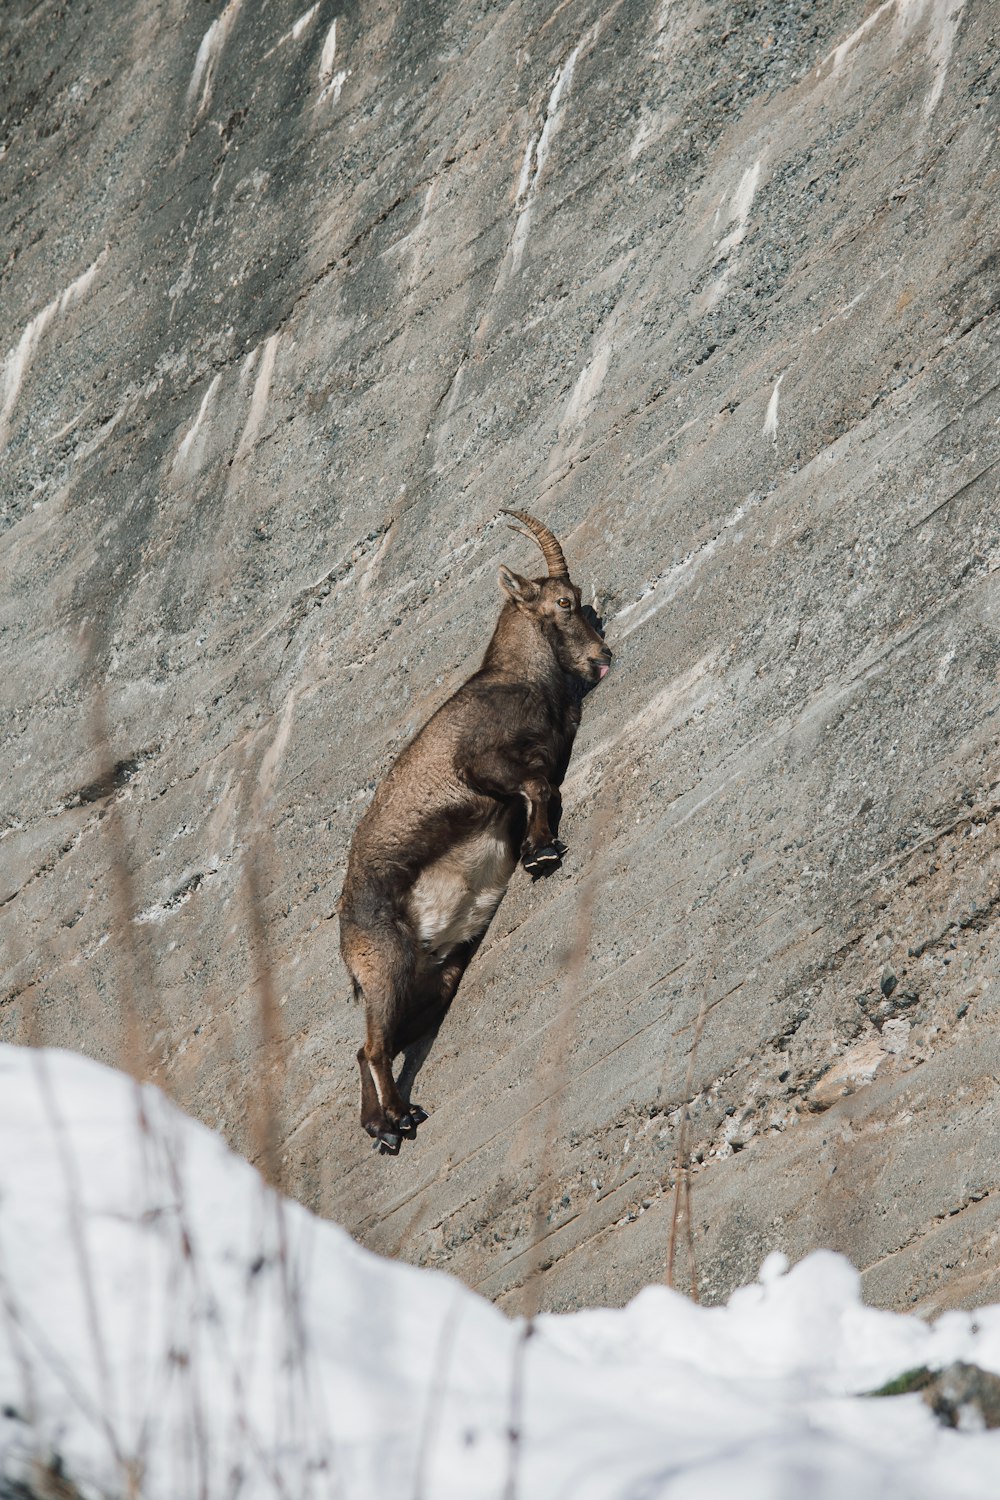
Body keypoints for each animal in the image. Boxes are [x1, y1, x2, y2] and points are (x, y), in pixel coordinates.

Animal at [340, 510, 614, 1152]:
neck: (519, 679)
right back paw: (401, 1118)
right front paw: (541, 851)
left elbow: (543, 784)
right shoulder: (481, 765)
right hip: (386, 965)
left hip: (434, 978)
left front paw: (538, 847)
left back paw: (382, 1127)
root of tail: (344, 942)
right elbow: (537, 787)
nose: (602, 656)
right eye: (565, 602)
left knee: (367, 1050)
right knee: (373, 1046)